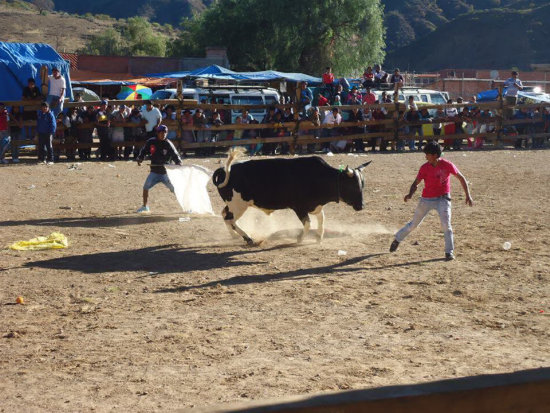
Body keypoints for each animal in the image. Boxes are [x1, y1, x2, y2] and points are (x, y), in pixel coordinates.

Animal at [213, 155, 374, 245]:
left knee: (225, 216)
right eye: (353, 186)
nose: (361, 206)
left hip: (233, 205)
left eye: (363, 184)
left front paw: (319, 237)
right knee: (230, 219)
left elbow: (321, 220)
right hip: (238, 205)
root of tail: (224, 170)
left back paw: (234, 235)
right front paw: (300, 239)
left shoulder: (315, 206)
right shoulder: (300, 208)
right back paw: (247, 238)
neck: (319, 176)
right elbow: (308, 224)